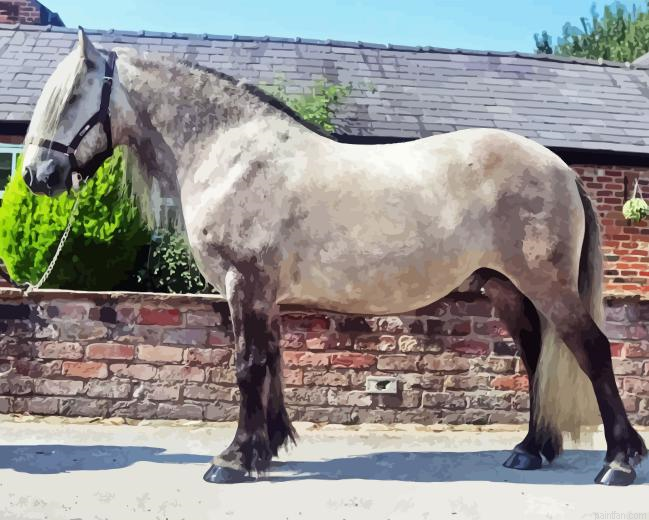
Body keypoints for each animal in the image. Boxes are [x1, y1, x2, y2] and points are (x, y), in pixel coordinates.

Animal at [20, 29, 646, 486]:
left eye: (72, 95)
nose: (37, 175)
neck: (230, 153)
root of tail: (558, 165)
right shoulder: (261, 294)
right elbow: (270, 362)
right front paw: (267, 448)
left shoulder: (245, 284)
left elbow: (247, 365)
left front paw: (233, 459)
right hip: (506, 287)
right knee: (537, 355)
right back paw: (531, 449)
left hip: (546, 285)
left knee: (591, 350)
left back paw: (618, 462)